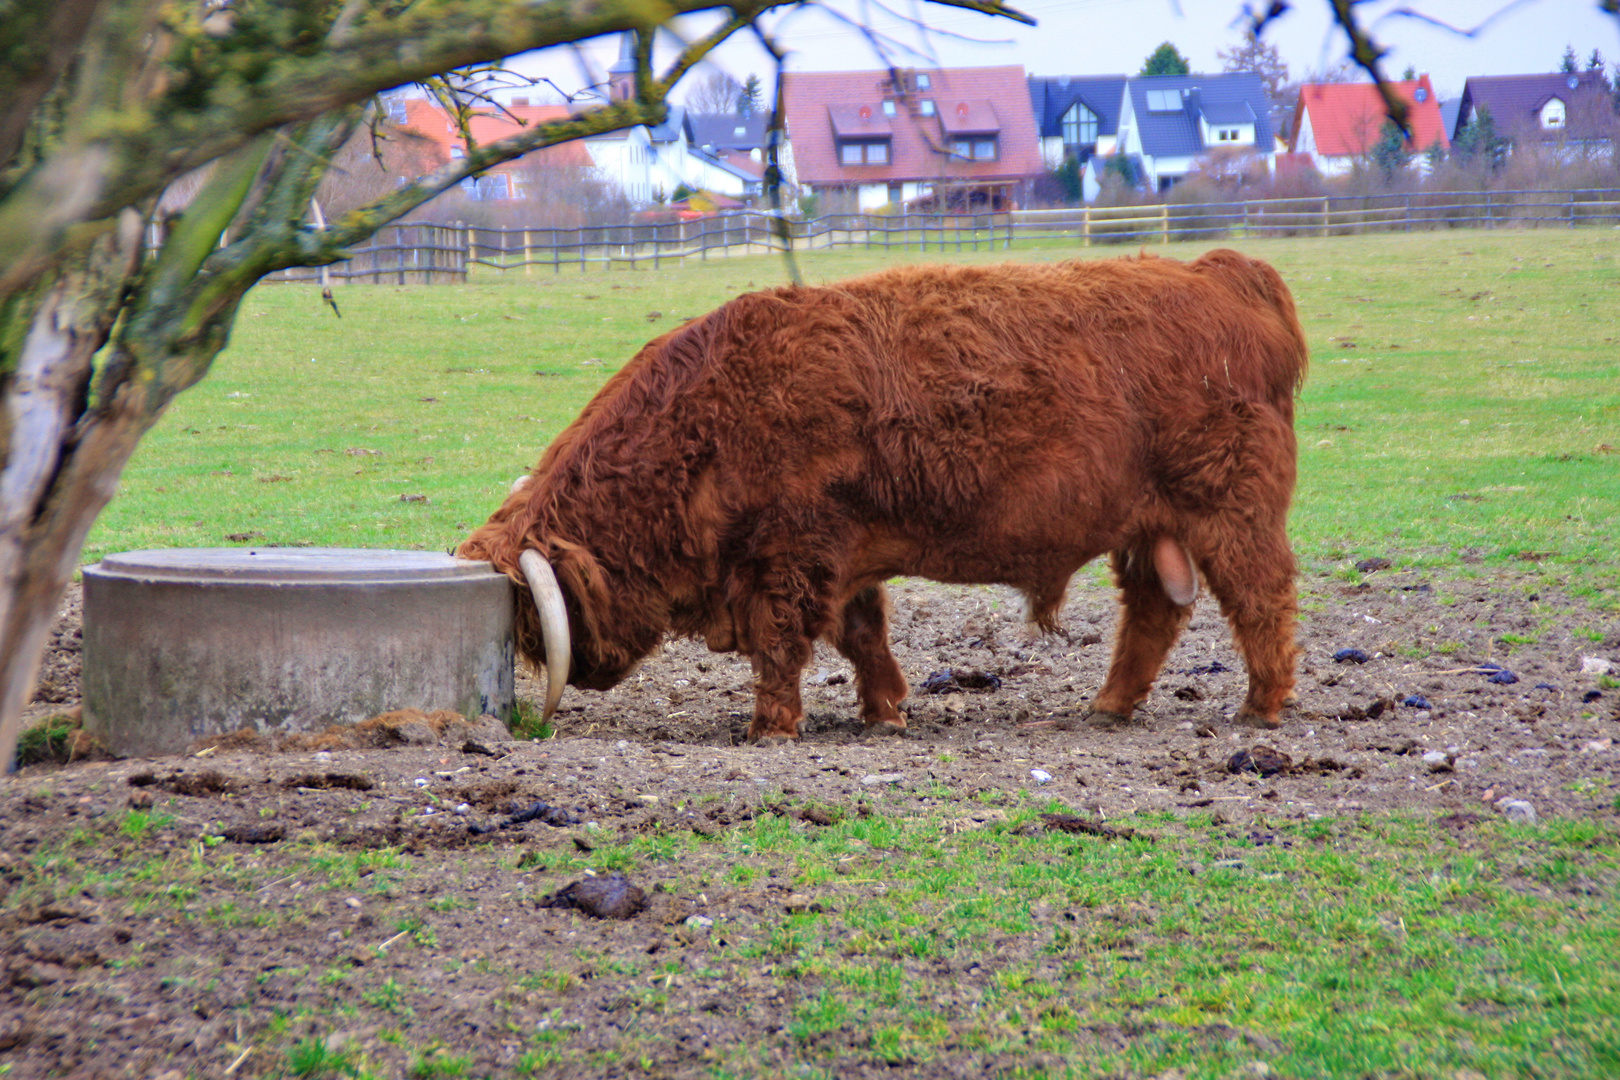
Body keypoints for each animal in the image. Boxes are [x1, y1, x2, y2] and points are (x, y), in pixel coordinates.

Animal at [456, 252, 1302, 744]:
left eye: (535, 615)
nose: (582, 672)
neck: (708, 420)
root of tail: (1221, 269)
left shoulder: (792, 552)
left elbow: (782, 642)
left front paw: (771, 727)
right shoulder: (840, 554)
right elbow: (862, 634)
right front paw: (884, 710)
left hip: (1230, 508)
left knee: (1260, 596)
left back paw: (1261, 705)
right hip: (1149, 527)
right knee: (1156, 612)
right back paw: (1109, 705)